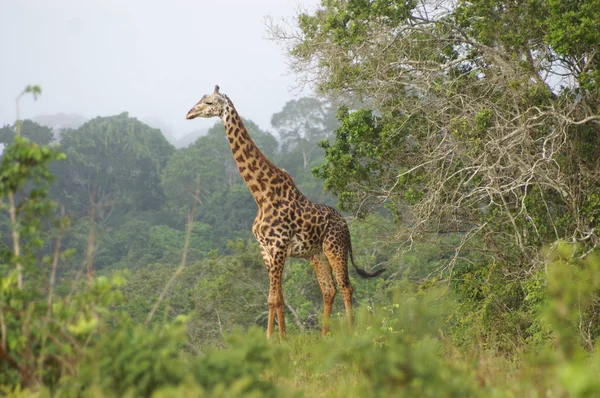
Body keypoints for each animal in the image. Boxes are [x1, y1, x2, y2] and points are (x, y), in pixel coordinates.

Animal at [188, 85, 384, 338]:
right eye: (201, 99)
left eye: (210, 103)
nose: (189, 114)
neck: (261, 195)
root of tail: (346, 225)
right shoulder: (265, 249)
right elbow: (277, 298)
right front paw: (277, 338)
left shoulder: (278, 245)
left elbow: (273, 298)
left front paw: (276, 340)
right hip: (317, 254)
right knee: (328, 289)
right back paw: (324, 336)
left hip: (335, 247)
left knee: (346, 286)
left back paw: (350, 334)